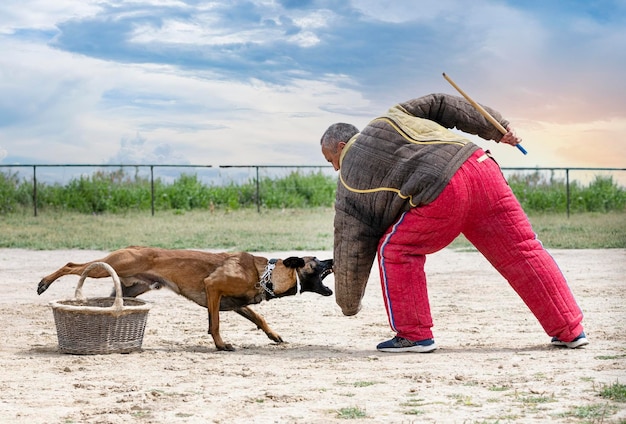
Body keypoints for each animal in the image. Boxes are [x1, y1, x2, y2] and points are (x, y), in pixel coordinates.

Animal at [37, 245, 332, 352]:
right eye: (316, 261)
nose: (333, 260)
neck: (265, 273)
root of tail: (131, 247)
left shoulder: (237, 304)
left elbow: (259, 317)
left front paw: (274, 335)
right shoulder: (213, 288)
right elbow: (215, 324)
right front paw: (220, 345)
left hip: (130, 286)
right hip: (107, 266)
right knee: (72, 264)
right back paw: (44, 283)